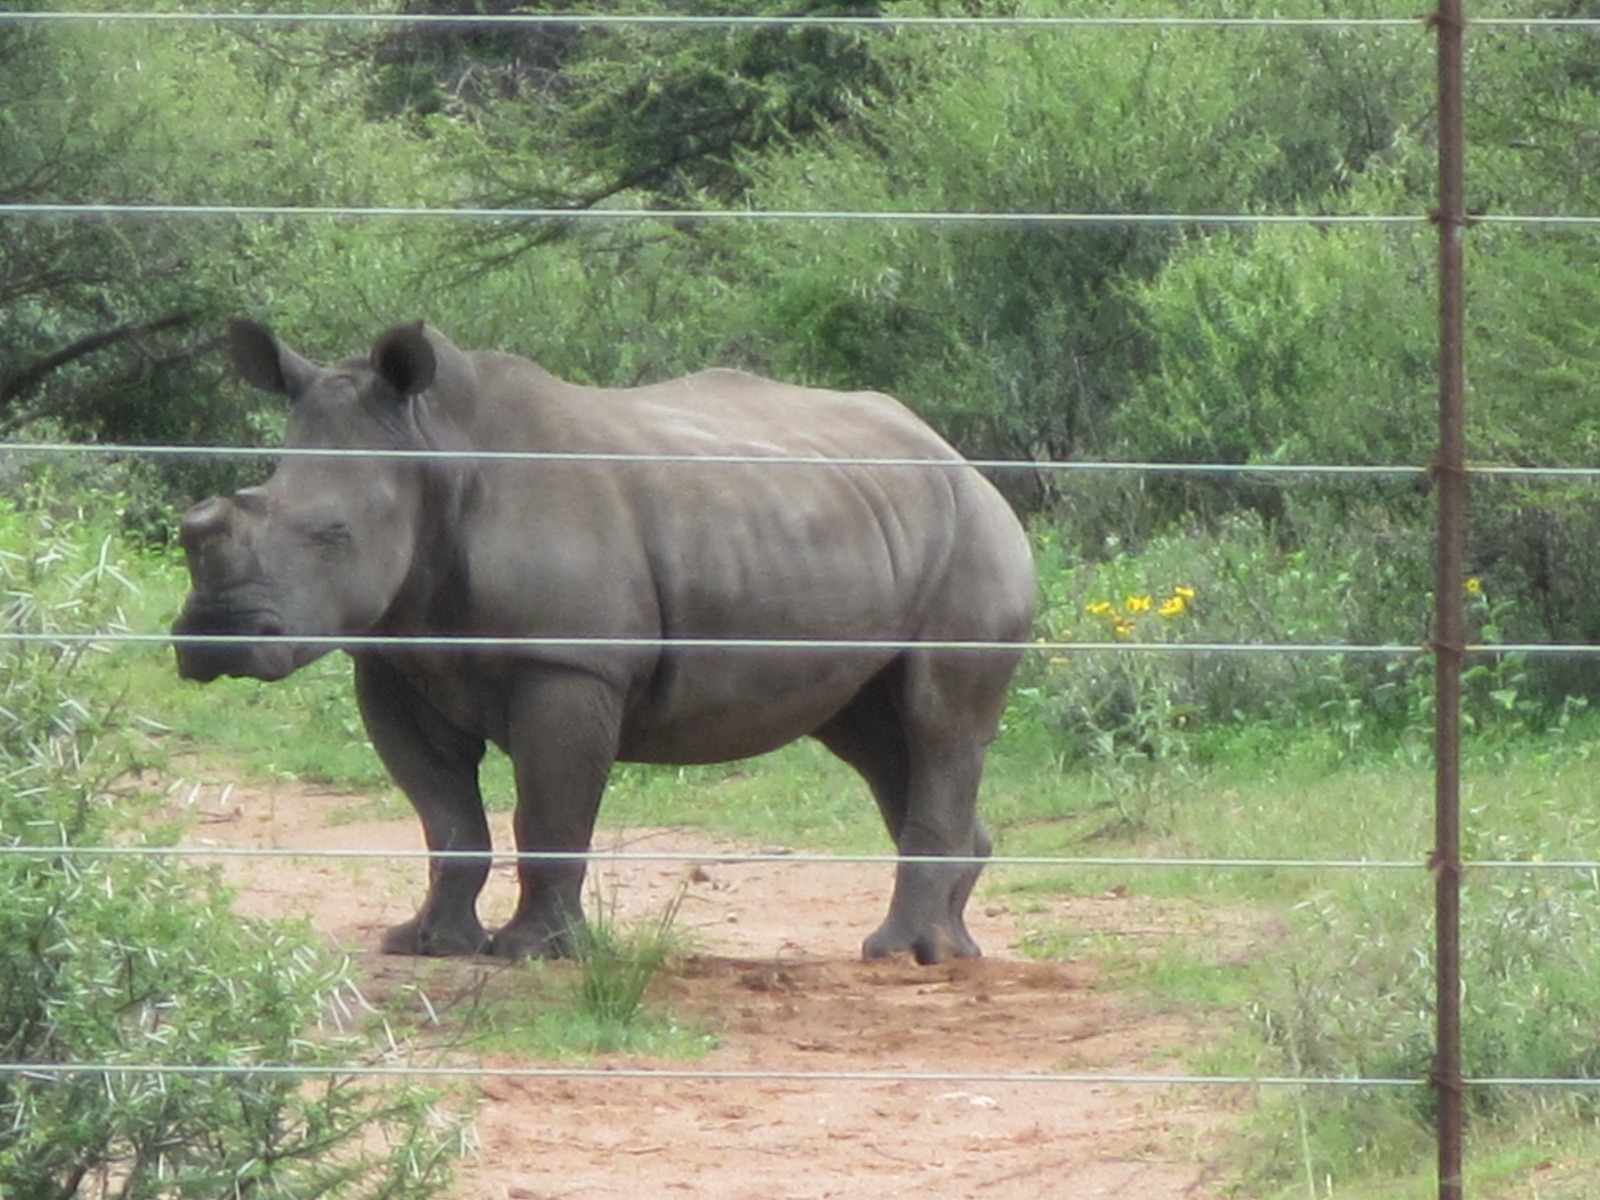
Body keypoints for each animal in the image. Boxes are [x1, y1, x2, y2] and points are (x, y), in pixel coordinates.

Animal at [172, 320, 1036, 965]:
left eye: (333, 536)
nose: (216, 641)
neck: (433, 448)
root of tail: (959, 457)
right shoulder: (392, 660)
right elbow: (445, 817)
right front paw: (426, 944)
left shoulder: (569, 664)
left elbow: (550, 815)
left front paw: (533, 953)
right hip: (856, 520)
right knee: (874, 731)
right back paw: (955, 947)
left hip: (974, 534)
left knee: (939, 718)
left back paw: (904, 955)